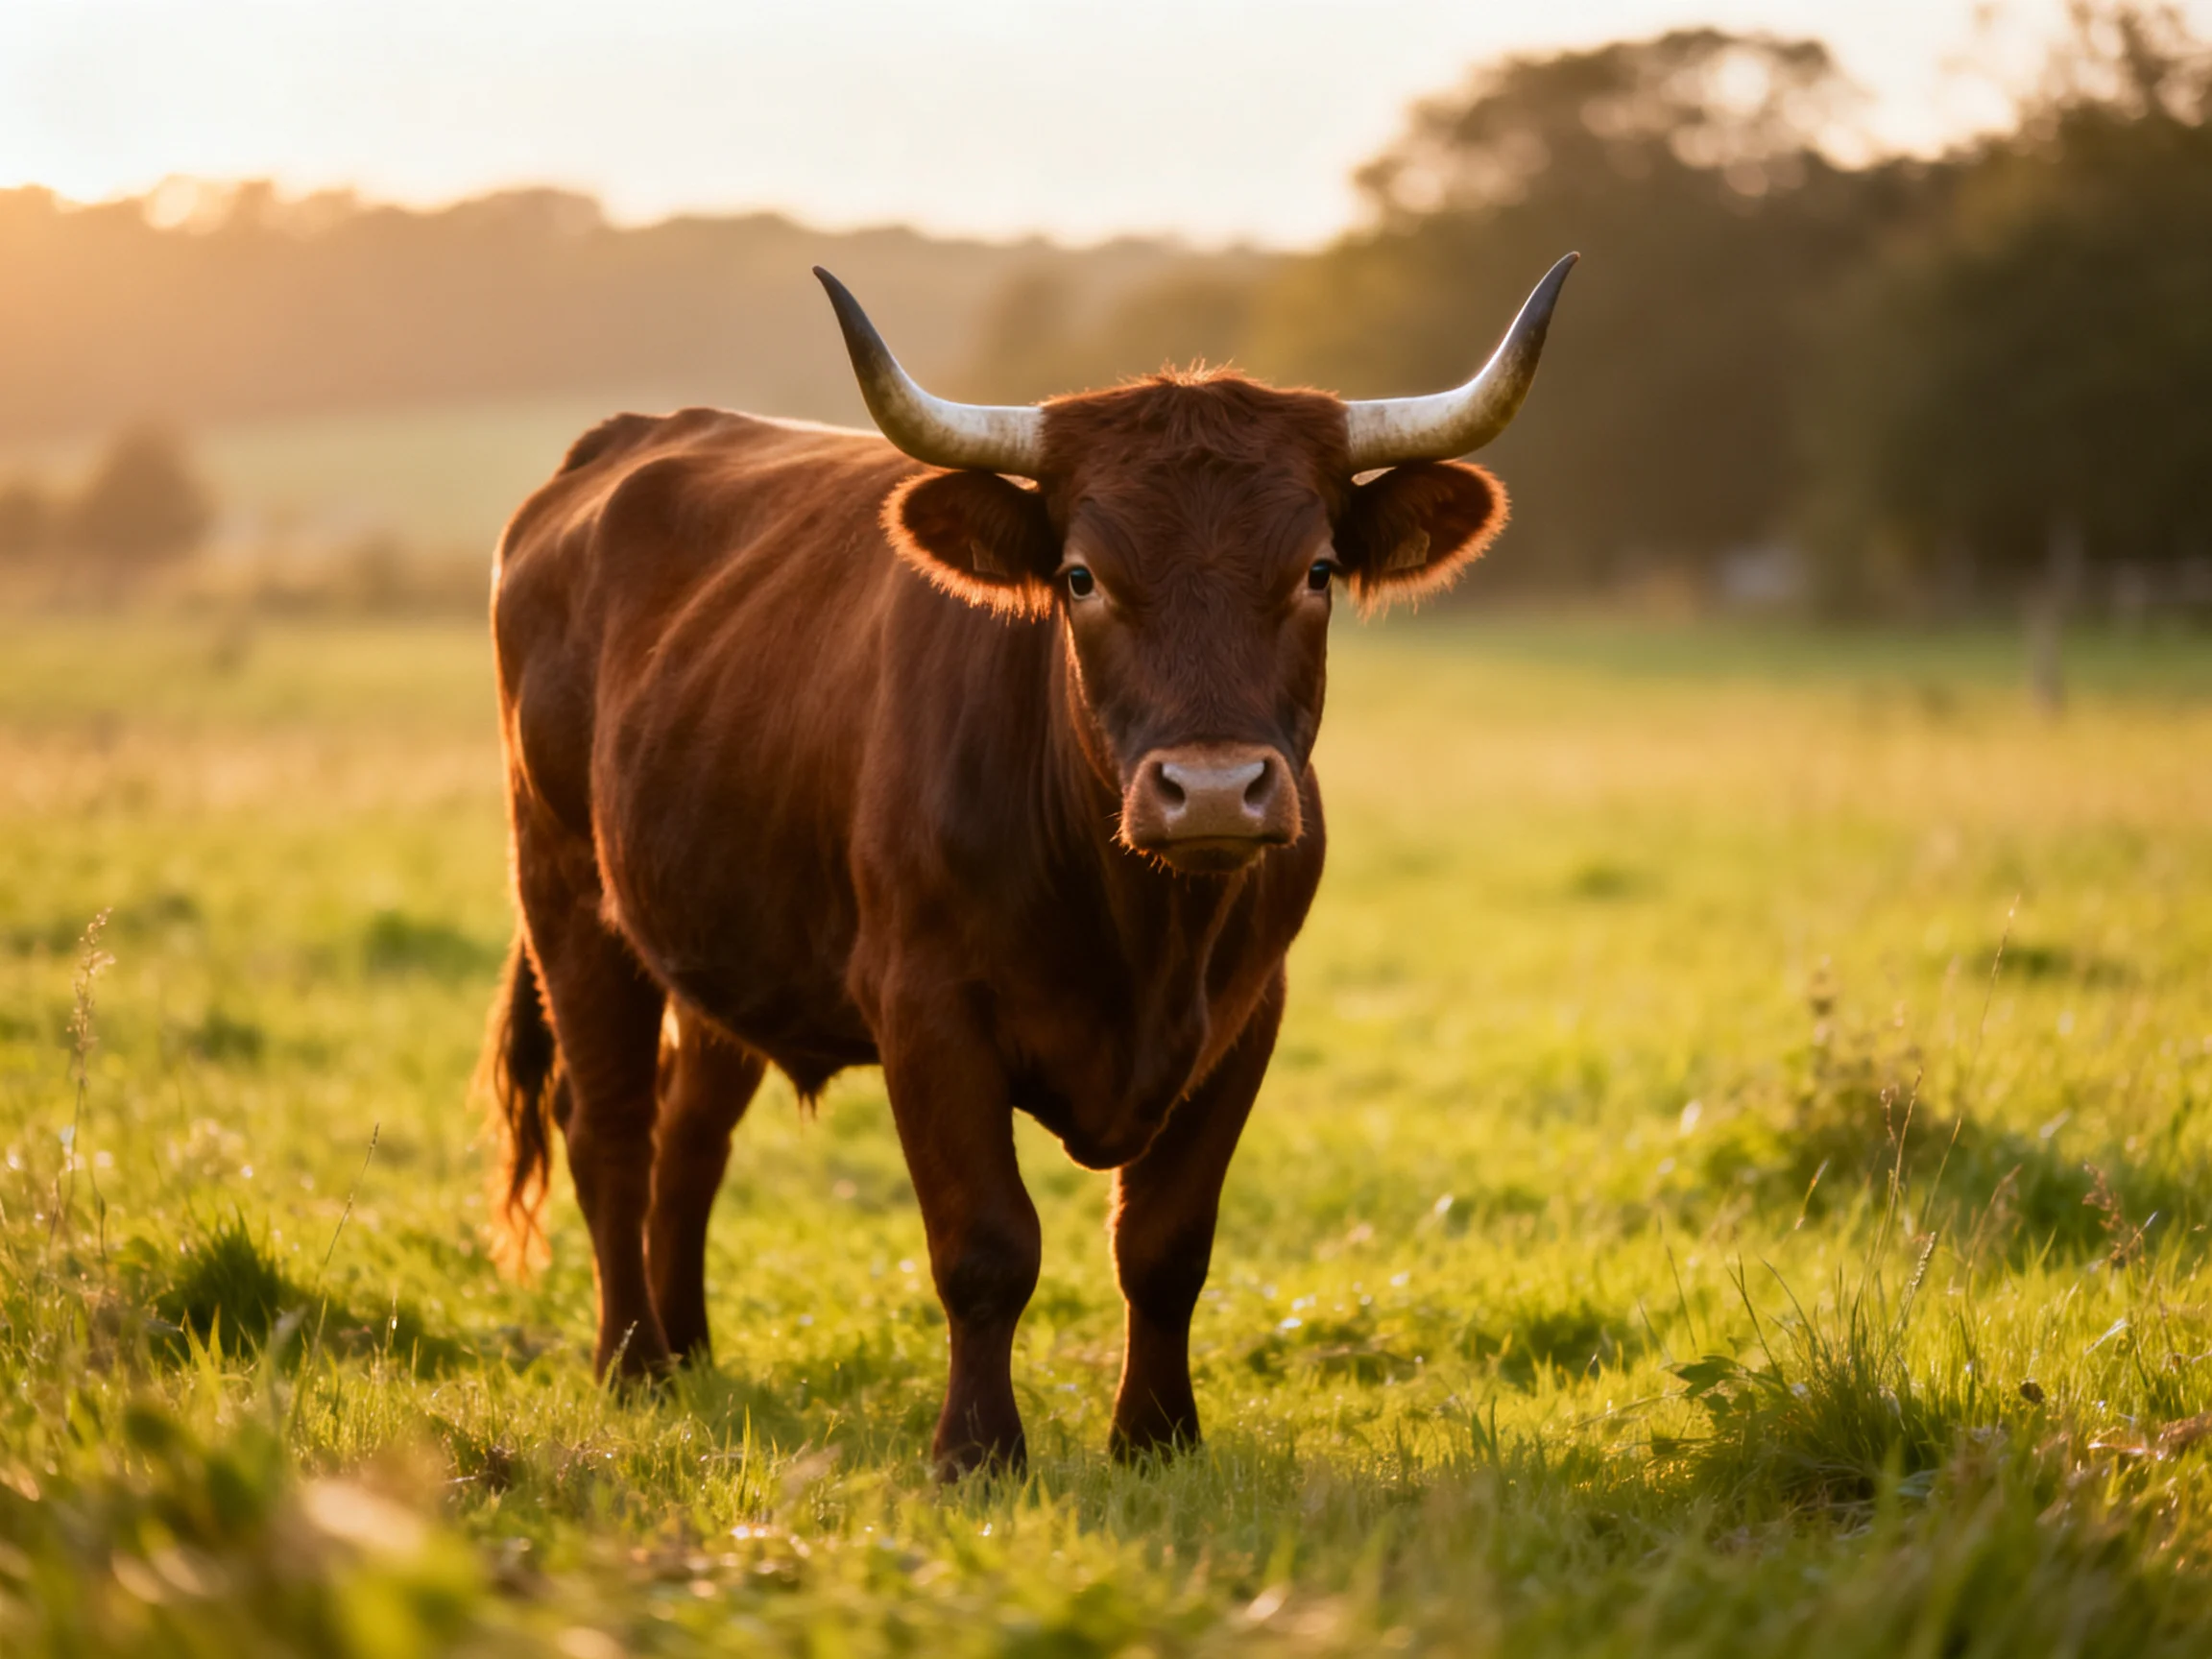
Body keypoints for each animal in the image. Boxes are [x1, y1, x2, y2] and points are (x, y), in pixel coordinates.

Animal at [480, 253, 1575, 1477]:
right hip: (567, 892)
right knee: (610, 1128)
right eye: (1083, 577)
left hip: (721, 939)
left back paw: (690, 1353)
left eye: (1320, 569)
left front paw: (1156, 1437)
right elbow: (986, 1245)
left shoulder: (1247, 1016)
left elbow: (1166, 1246)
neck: (1142, 936)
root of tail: (619, 445)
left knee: (689, 1134)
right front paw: (976, 1450)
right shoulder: (925, 1008)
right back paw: (630, 1364)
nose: (1210, 790)